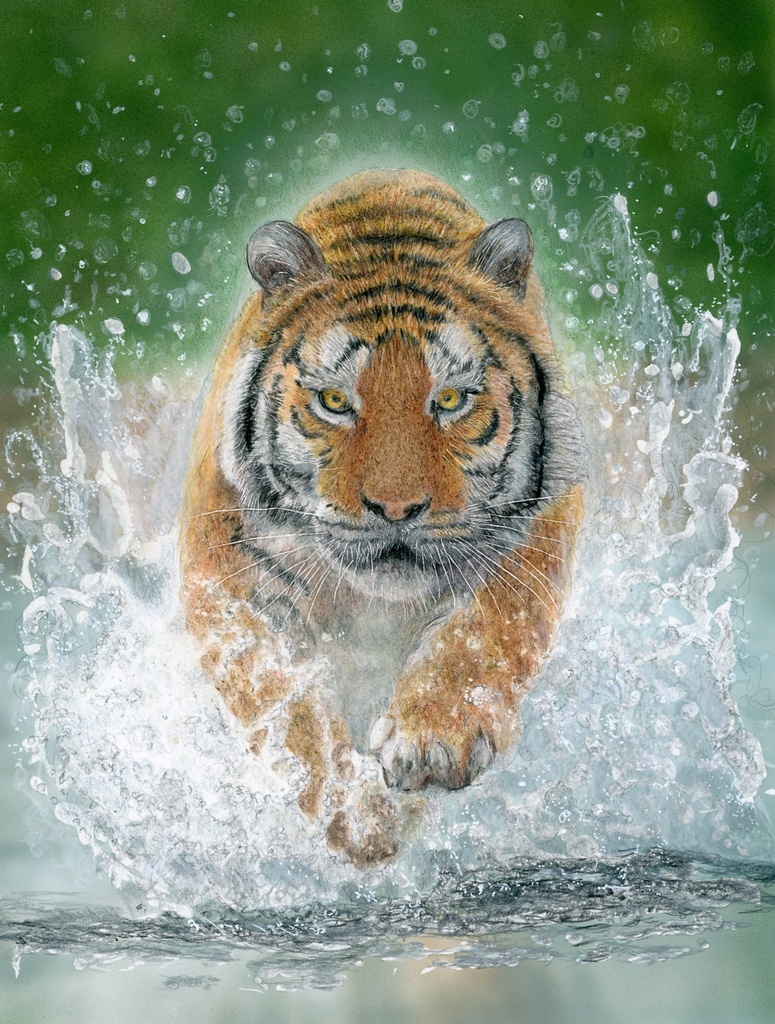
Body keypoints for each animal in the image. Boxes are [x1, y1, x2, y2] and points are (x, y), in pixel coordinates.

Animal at [179, 168, 584, 866]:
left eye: (449, 399)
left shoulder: (540, 534)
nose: (396, 509)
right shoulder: (225, 562)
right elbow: (278, 692)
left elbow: (487, 632)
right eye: (335, 401)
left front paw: (433, 743)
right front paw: (354, 813)